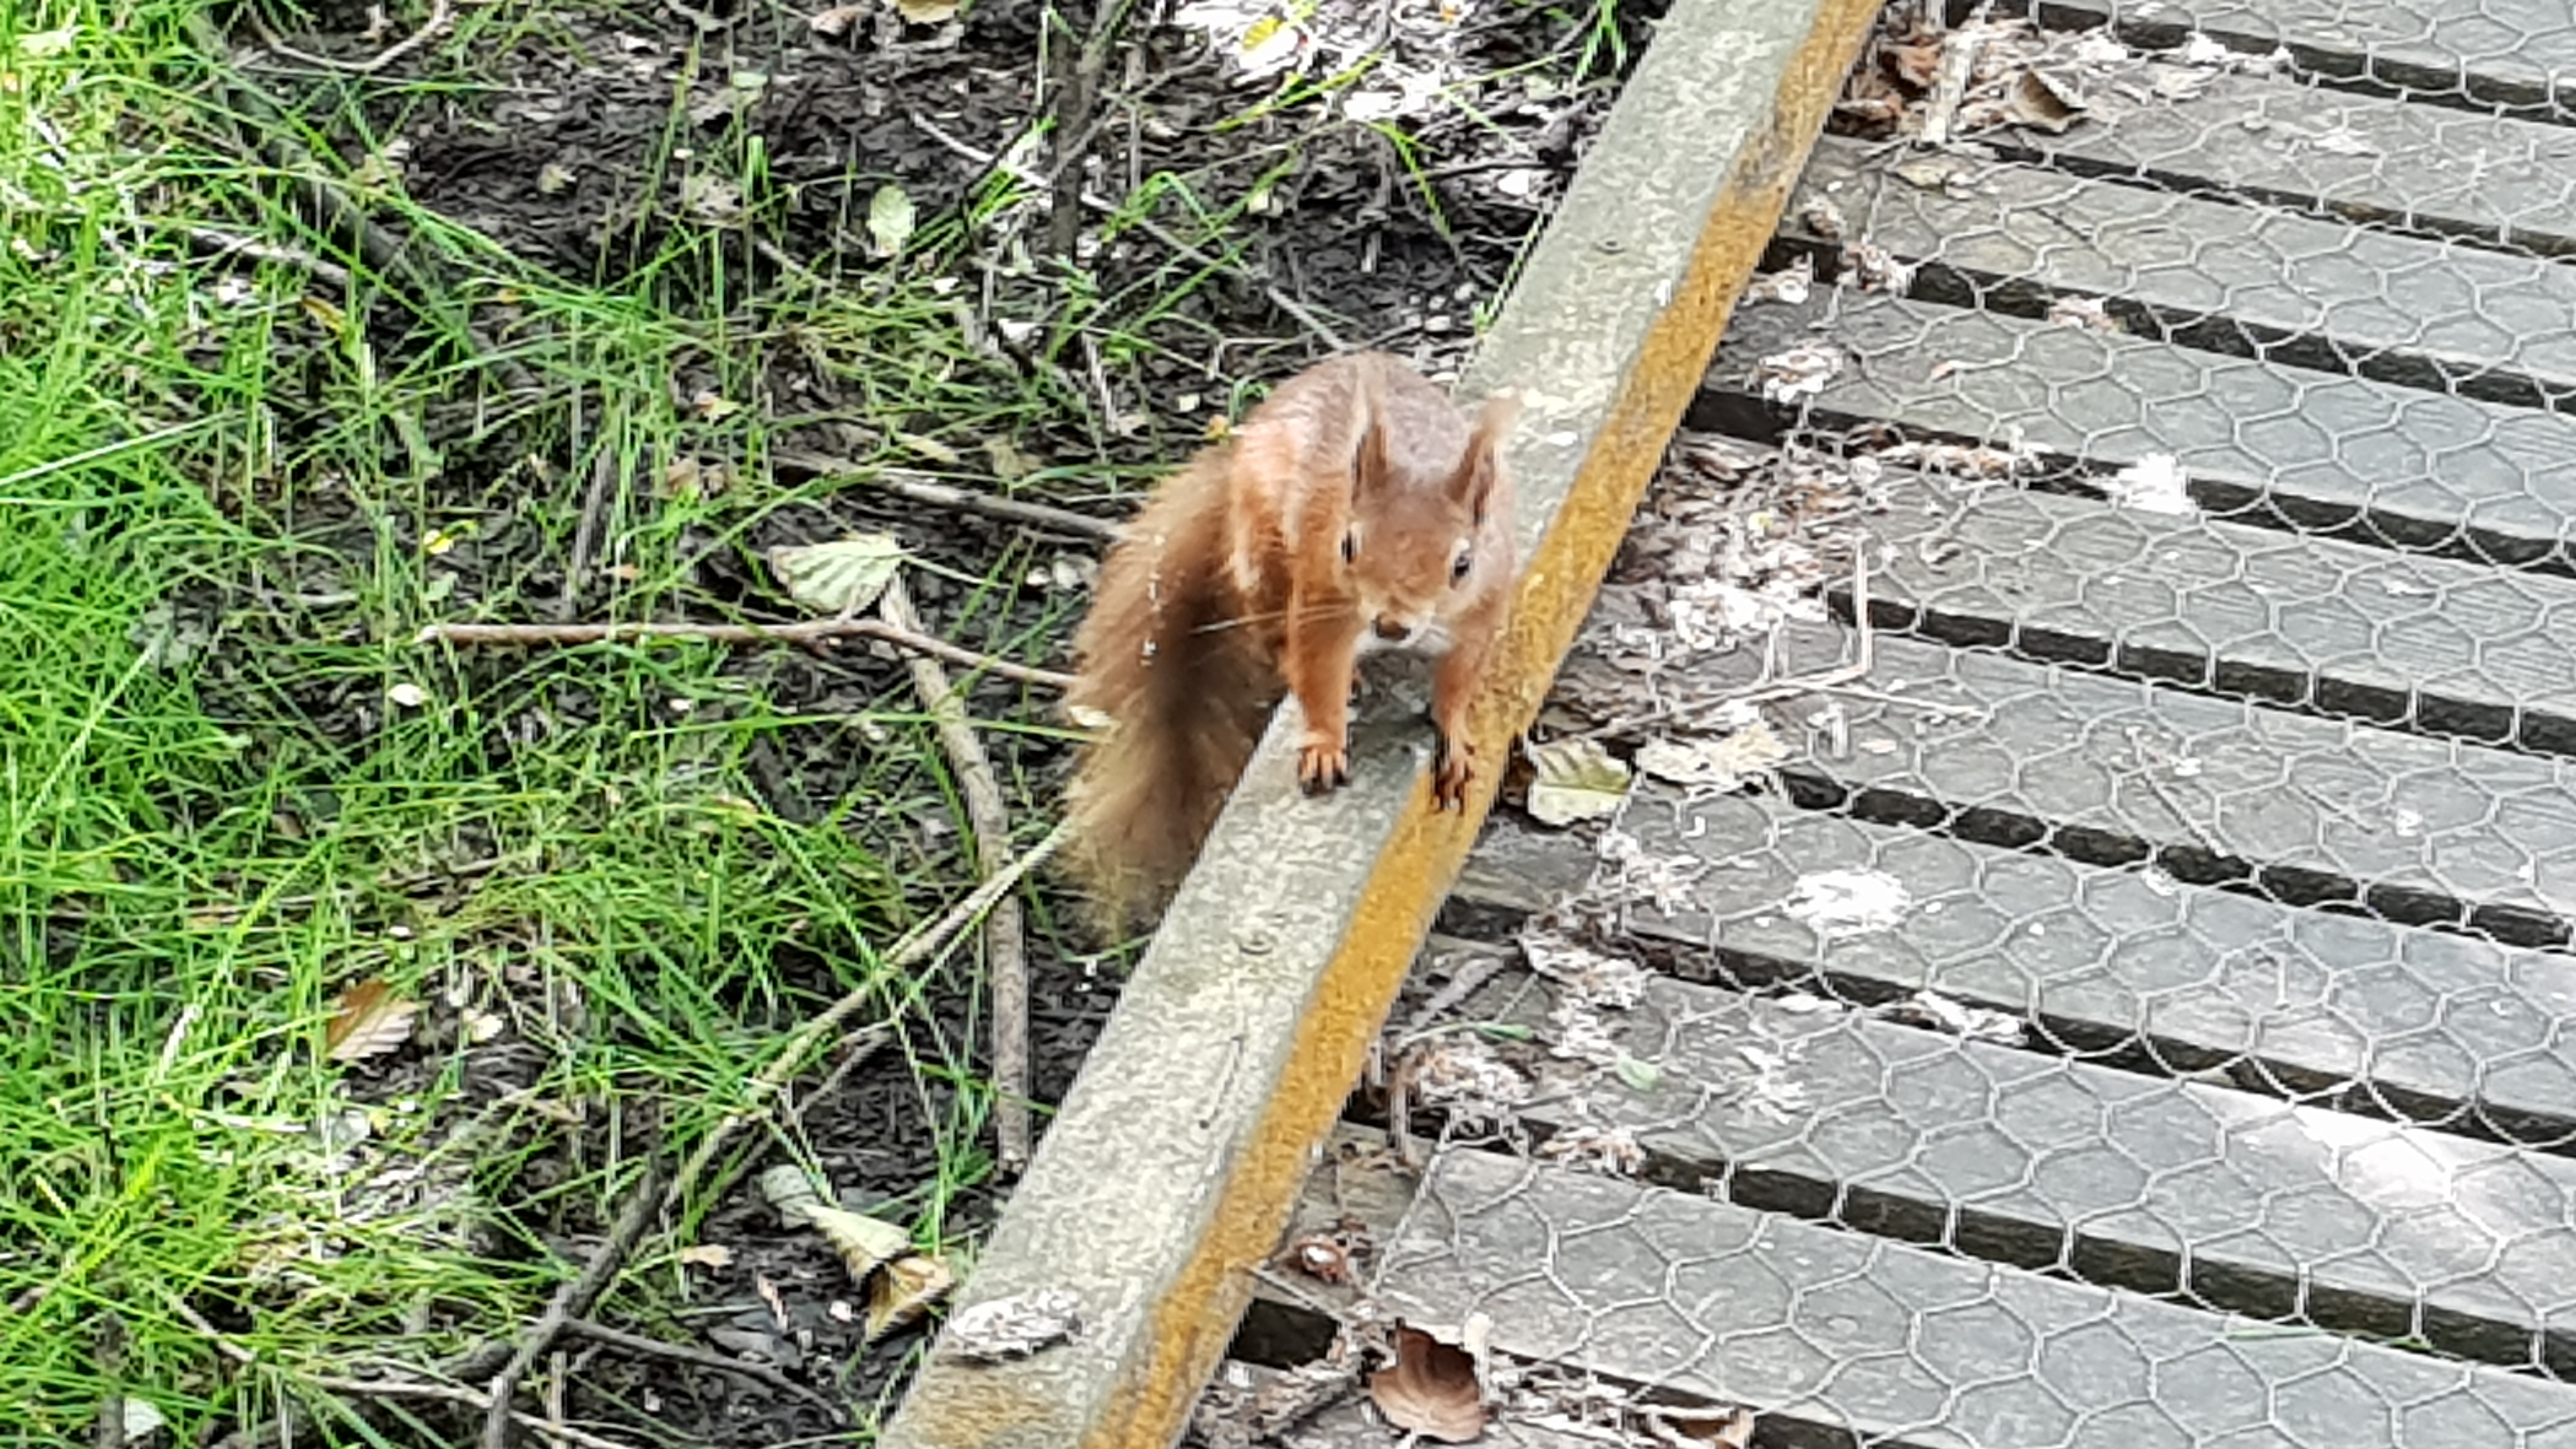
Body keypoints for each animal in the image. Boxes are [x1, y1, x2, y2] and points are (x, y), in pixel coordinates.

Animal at [1060, 351, 1521, 930]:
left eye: (1463, 564)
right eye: (1348, 545)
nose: (1391, 627)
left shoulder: (1485, 609)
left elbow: (1461, 681)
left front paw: (1455, 736)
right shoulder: (1325, 600)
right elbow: (1316, 669)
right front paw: (1325, 743)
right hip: (1265, 556)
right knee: (1271, 636)